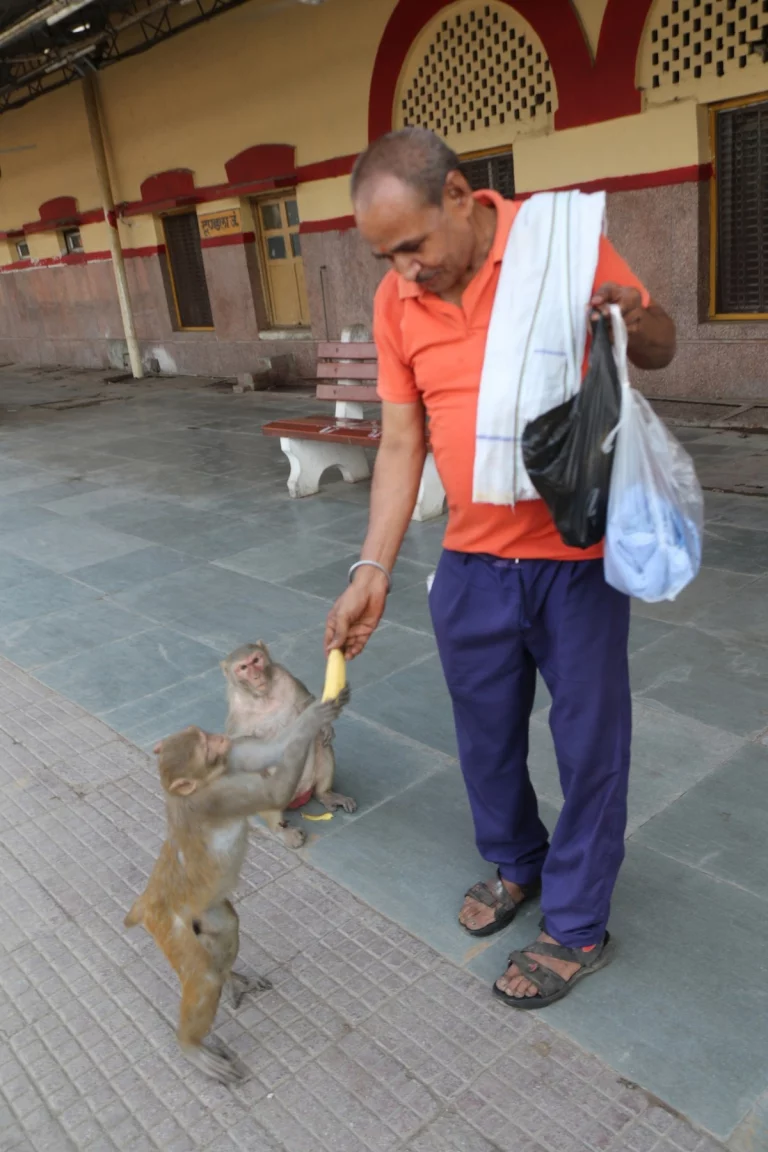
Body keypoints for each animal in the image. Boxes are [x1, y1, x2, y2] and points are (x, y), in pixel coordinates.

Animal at [123, 681, 352, 1087]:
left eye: (202, 734)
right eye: (205, 745)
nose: (219, 738)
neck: (202, 783)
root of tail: (147, 902)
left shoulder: (233, 759)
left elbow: (273, 748)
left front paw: (321, 712)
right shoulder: (217, 797)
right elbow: (274, 790)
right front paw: (317, 717)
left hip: (203, 911)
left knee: (226, 928)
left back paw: (230, 978)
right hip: (169, 926)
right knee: (201, 978)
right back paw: (190, 1046)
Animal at [221, 640, 356, 847]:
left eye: (256, 660)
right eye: (243, 668)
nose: (256, 675)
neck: (263, 697)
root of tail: (297, 798)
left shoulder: (286, 677)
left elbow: (306, 703)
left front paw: (324, 723)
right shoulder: (237, 714)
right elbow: (243, 750)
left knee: (319, 741)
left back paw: (325, 794)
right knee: (261, 778)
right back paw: (281, 831)